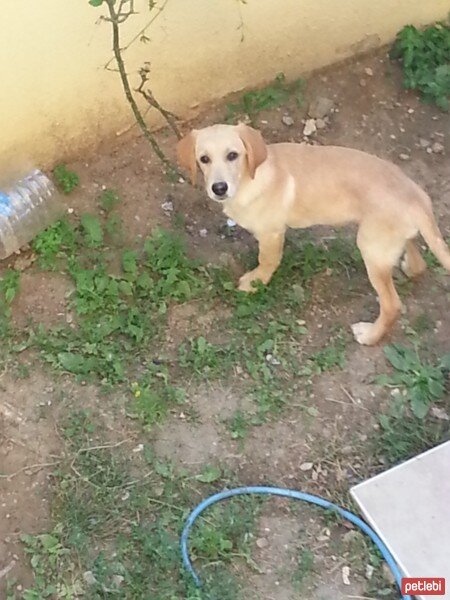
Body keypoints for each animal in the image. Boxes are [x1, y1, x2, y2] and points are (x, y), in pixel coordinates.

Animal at [178, 124, 448, 344]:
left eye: (233, 155)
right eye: (204, 159)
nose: (219, 188)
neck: (251, 177)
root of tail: (417, 199)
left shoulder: (271, 233)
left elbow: (267, 261)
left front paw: (256, 282)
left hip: (371, 248)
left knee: (392, 305)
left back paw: (369, 336)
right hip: (391, 240)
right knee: (418, 260)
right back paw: (409, 266)